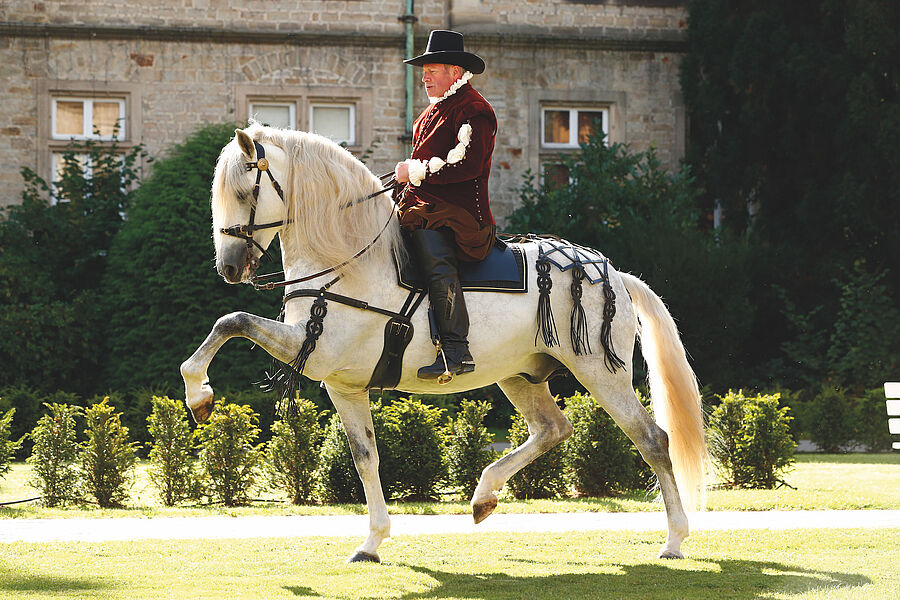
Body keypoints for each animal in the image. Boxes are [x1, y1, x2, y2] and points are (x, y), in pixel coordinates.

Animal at [179, 124, 708, 564]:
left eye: (244, 191)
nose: (228, 267)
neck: (348, 261)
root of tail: (614, 273)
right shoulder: (342, 384)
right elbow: (365, 457)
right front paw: (372, 542)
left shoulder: (314, 352)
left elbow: (232, 321)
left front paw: (199, 395)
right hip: (519, 375)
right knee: (553, 429)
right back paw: (483, 496)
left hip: (602, 372)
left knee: (653, 440)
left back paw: (675, 539)